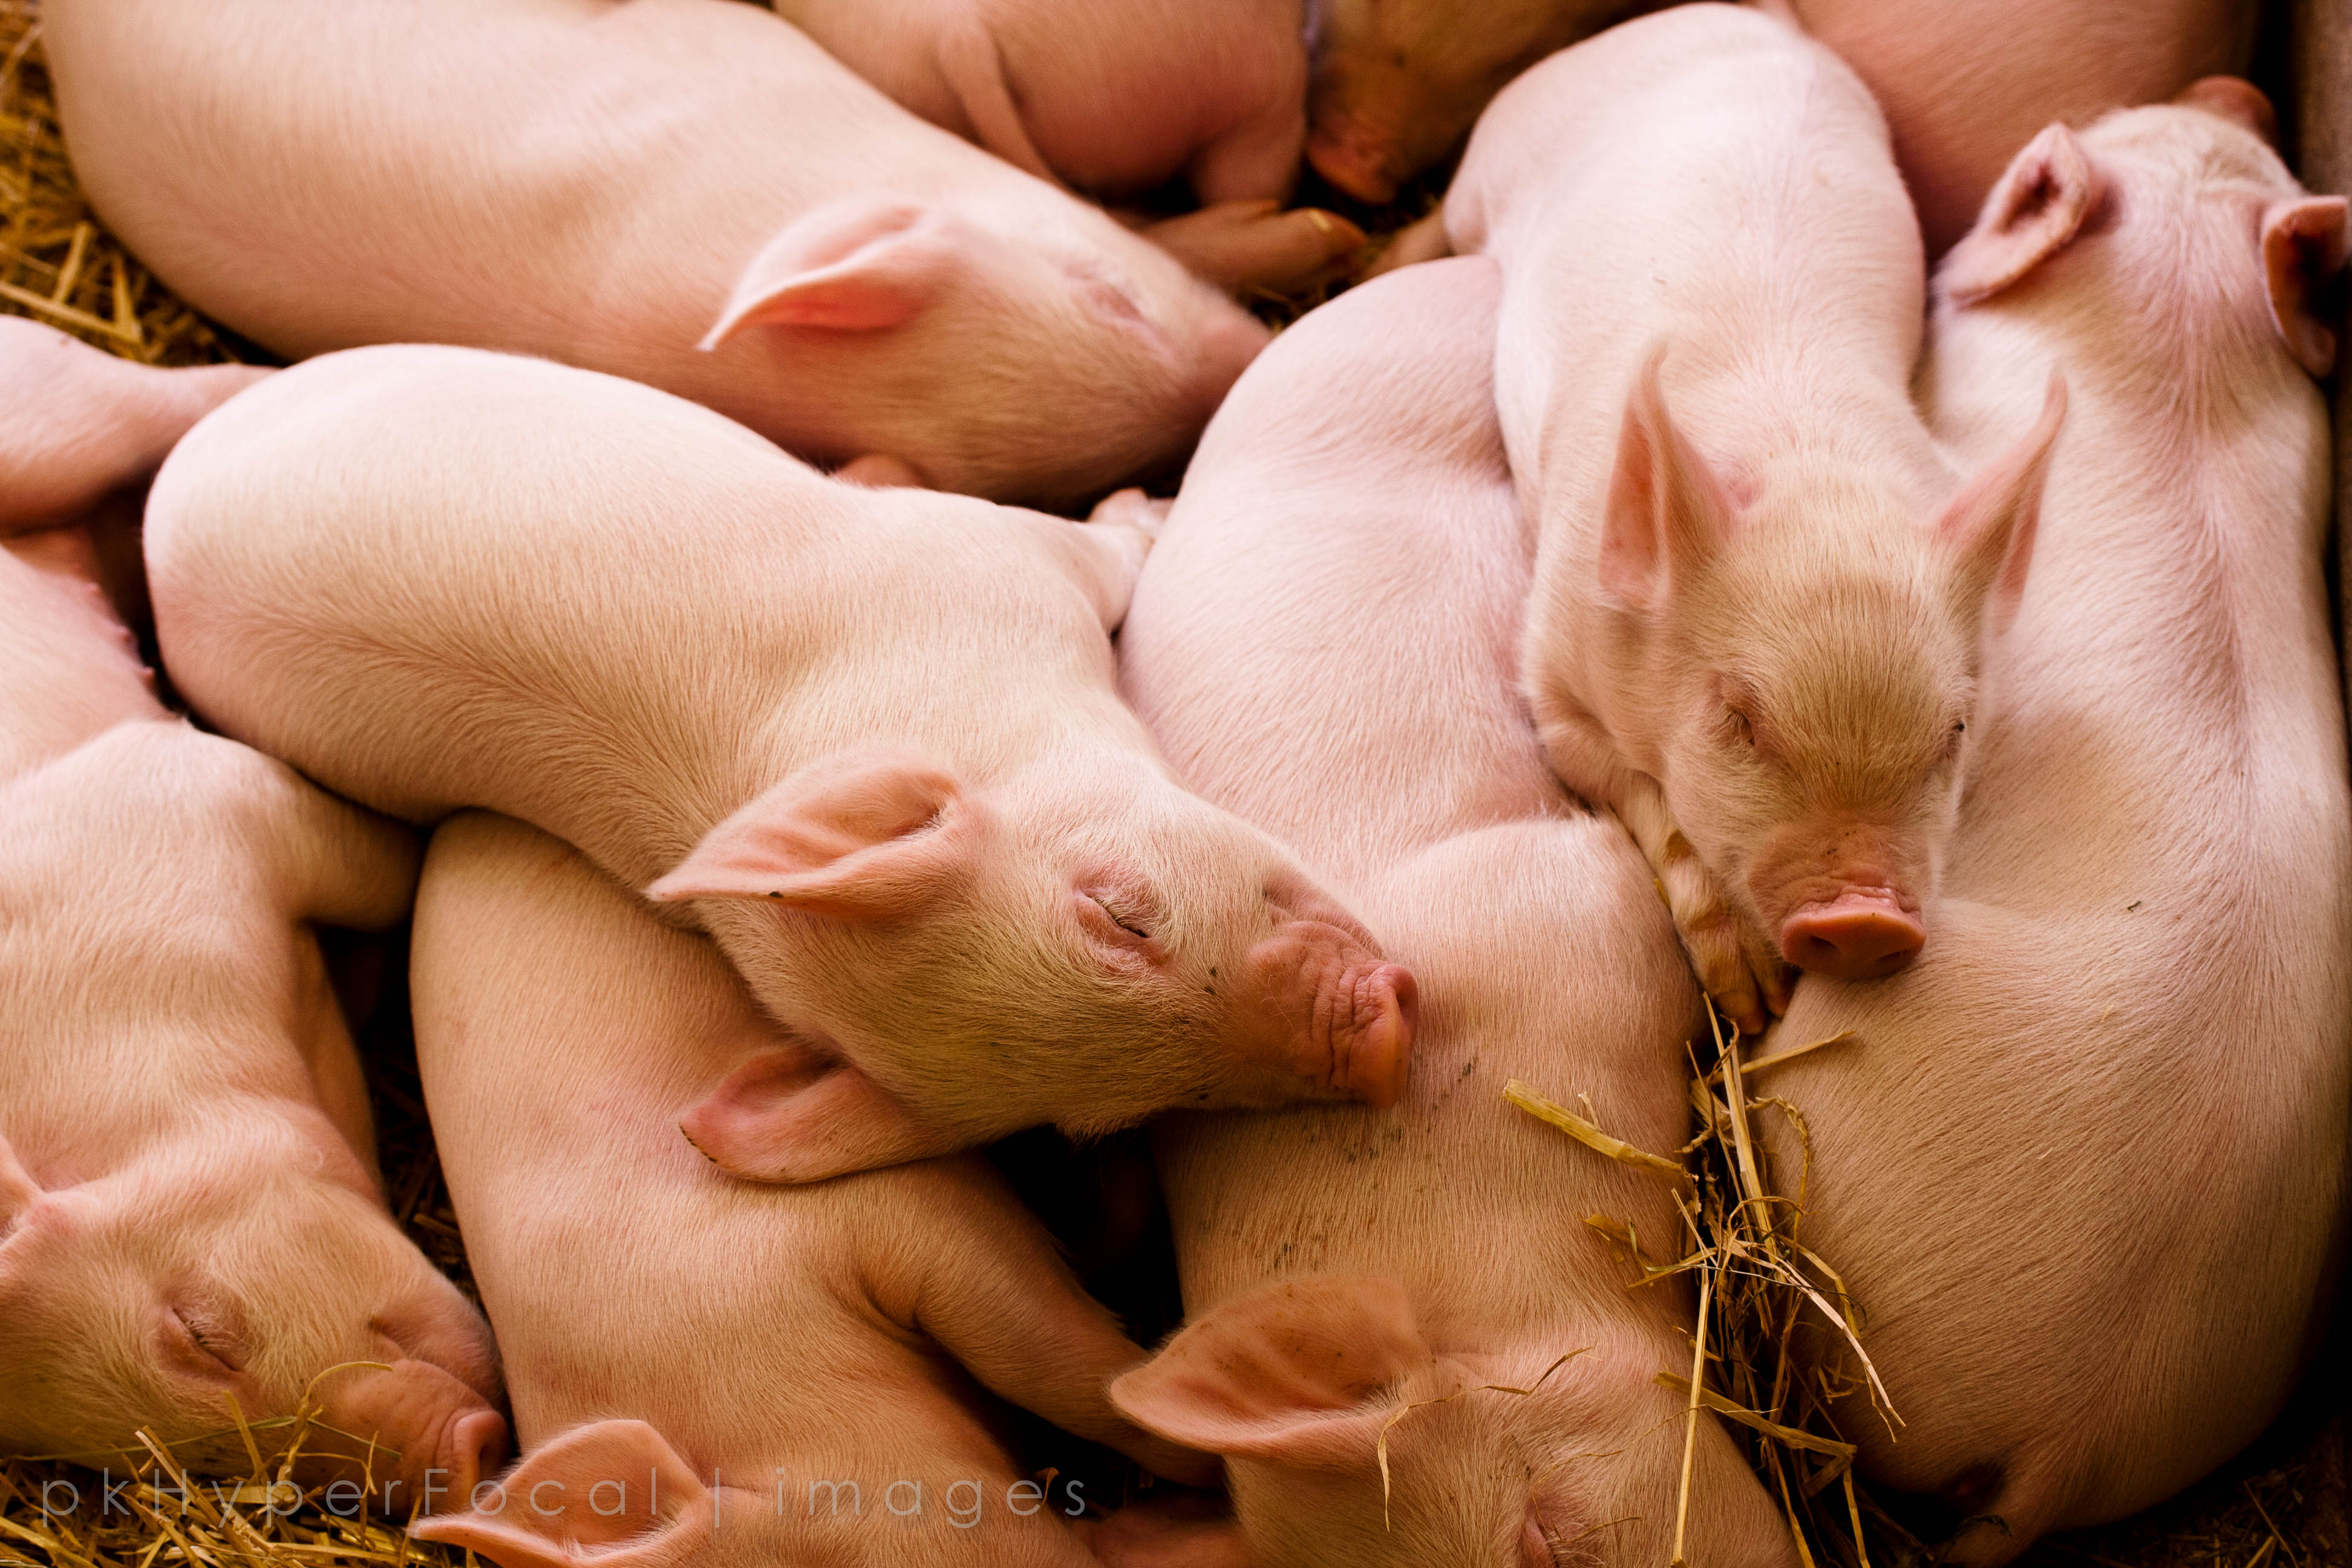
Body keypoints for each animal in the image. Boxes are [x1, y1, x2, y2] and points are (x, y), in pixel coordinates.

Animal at [145, 346, 1416, 1183]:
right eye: (1109, 1113)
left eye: (1119, 914)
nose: (1377, 1043)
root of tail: (159, 542)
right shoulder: (994, 557)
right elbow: (1096, 544)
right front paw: (1144, 507)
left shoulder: (970, 555)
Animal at [1445, 4, 2070, 1034]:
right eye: (1738, 717)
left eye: (1953, 733)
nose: (1864, 919)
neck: (1811, 464)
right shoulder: (1551, 679)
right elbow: (1643, 794)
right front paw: (1752, 1003)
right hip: (1491, 157)